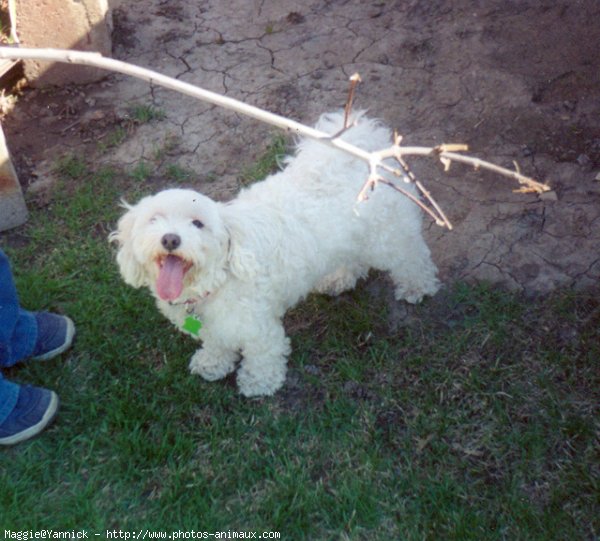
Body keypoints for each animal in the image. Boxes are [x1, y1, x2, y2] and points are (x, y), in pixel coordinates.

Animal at [111, 110, 440, 396]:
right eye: (154, 220)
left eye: (198, 223)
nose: (170, 239)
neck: (220, 278)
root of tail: (365, 149)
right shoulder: (216, 326)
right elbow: (217, 344)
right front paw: (212, 363)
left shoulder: (258, 326)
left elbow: (264, 354)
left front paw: (258, 383)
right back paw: (339, 279)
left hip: (389, 237)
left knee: (412, 257)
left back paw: (417, 286)